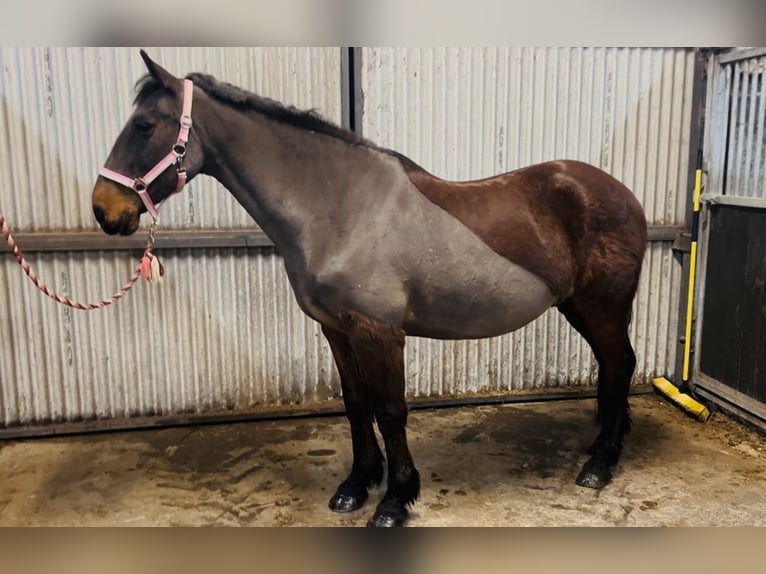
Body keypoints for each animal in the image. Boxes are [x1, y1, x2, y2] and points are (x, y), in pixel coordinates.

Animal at [92, 50, 647, 527]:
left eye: (145, 125)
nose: (103, 211)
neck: (340, 206)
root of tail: (622, 193)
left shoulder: (378, 332)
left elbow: (390, 409)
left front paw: (396, 499)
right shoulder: (337, 330)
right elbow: (356, 403)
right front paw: (356, 485)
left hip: (601, 306)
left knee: (620, 364)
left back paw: (599, 465)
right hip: (577, 307)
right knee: (612, 366)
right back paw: (603, 447)